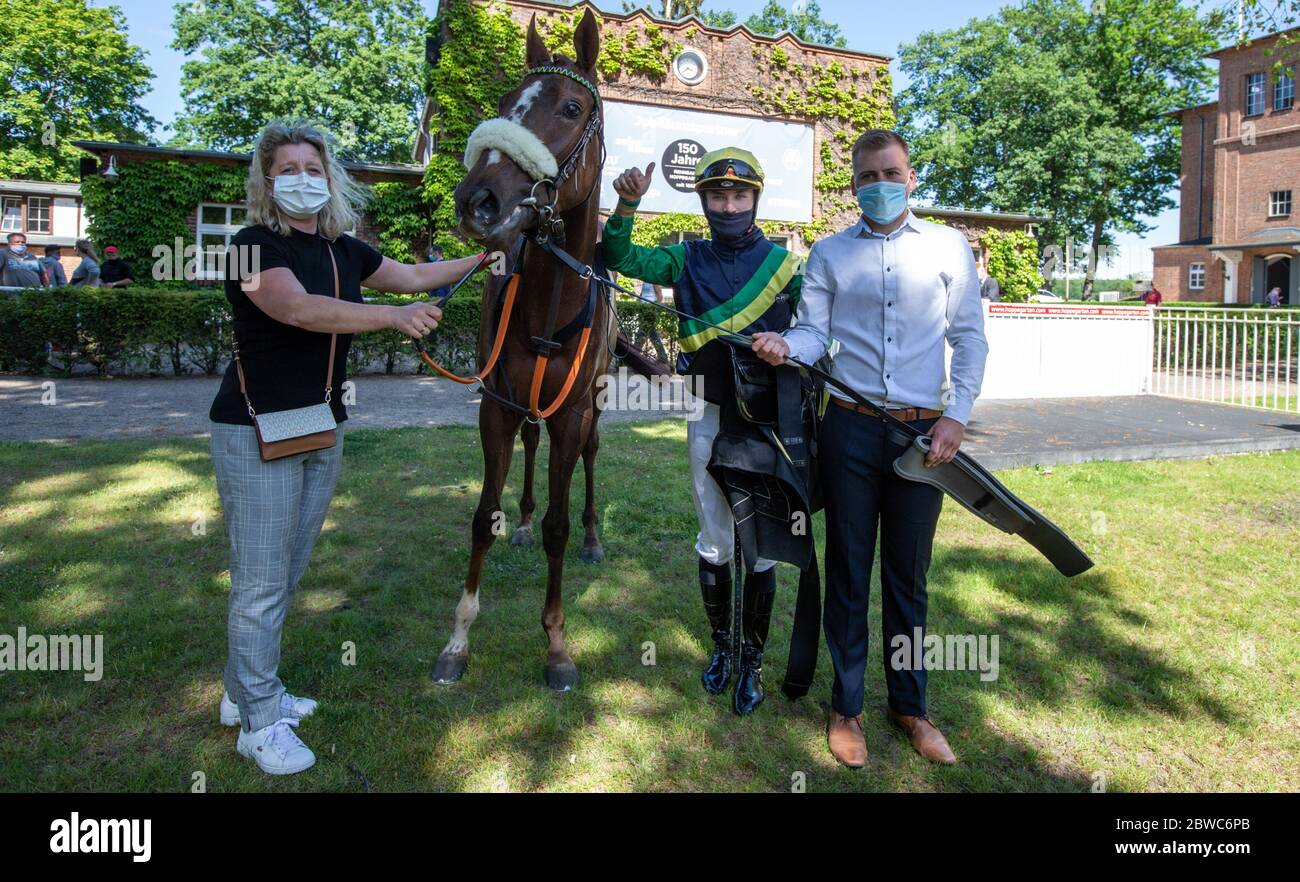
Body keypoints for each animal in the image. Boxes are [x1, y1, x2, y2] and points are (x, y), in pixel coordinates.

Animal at [431, 10, 613, 692]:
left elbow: (562, 522)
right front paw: (458, 638)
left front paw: (556, 645)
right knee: (530, 451)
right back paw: (527, 520)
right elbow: (483, 516)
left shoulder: (571, 411)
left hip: (592, 405)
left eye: (571, 107)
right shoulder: (497, 405)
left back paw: (592, 535)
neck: (548, 302)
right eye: (507, 101)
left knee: (589, 459)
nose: (477, 199)